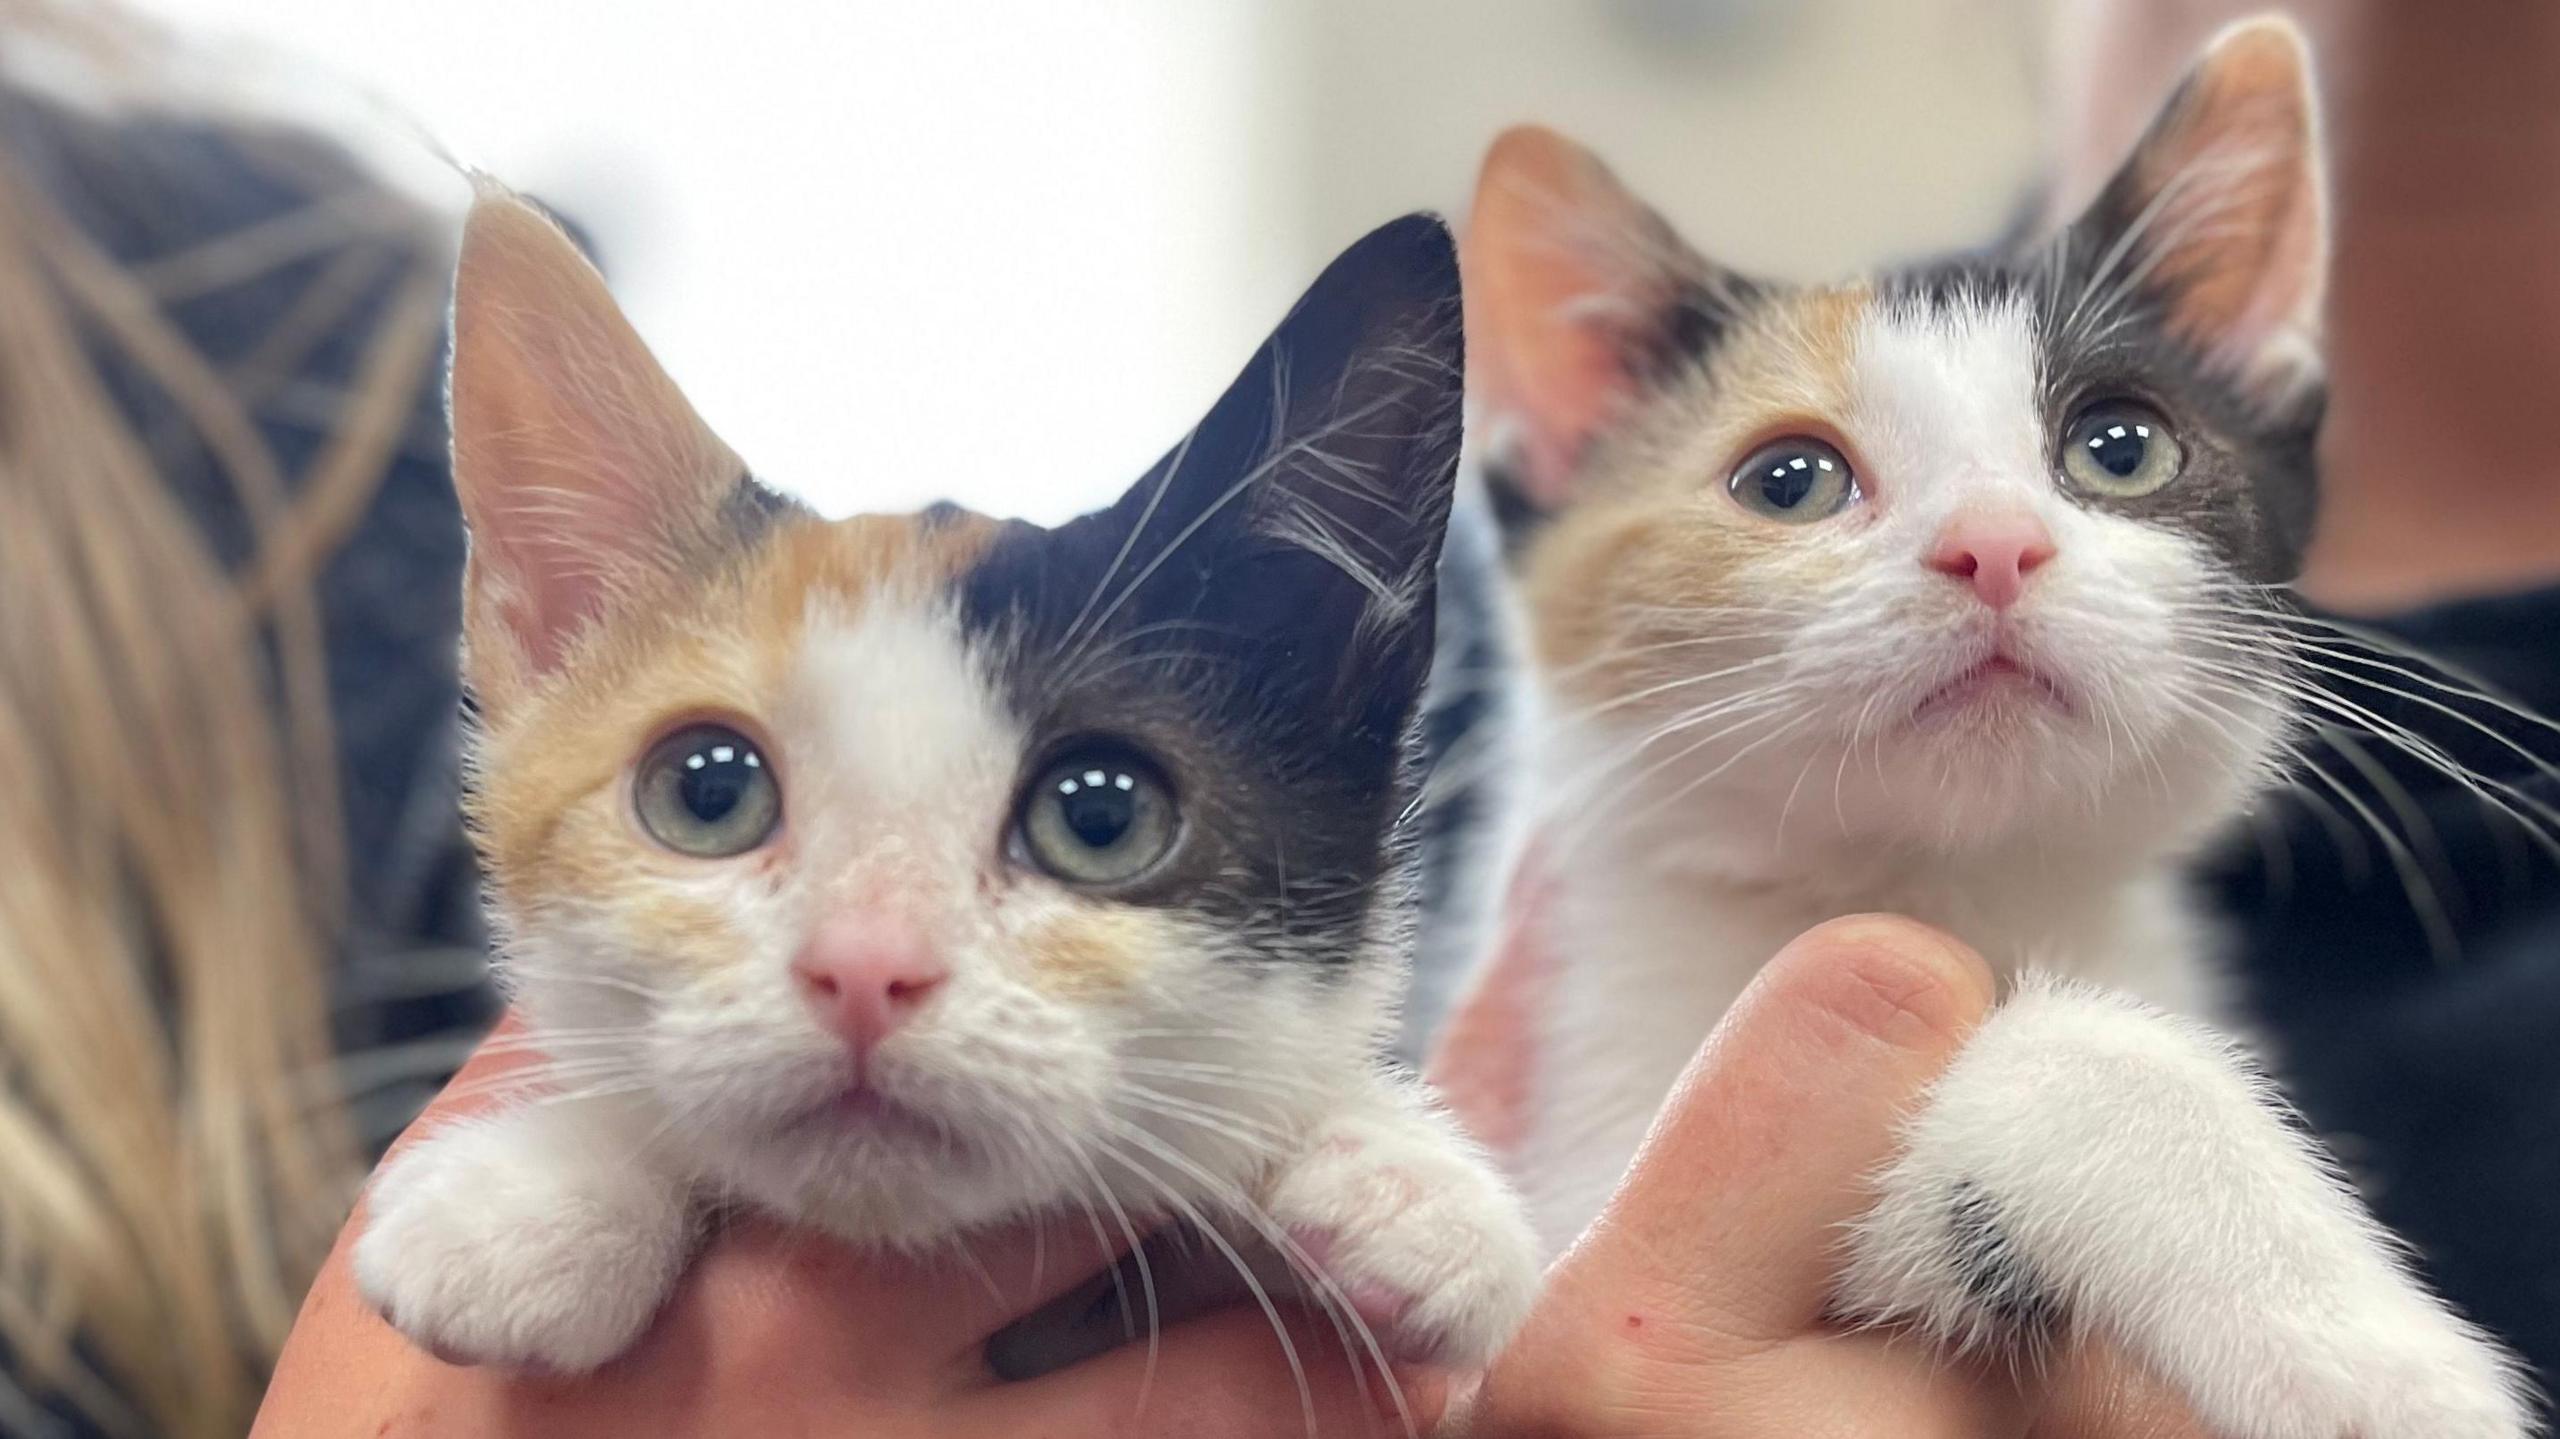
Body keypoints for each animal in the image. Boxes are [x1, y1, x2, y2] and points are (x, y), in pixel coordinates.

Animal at [1454, 19, 2529, 1433]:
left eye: (2119, 446)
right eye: (1786, 480)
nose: (1993, 544)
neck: (1953, 885)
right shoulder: (1579, 1141)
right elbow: (2059, 1052)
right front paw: (2360, 1346)